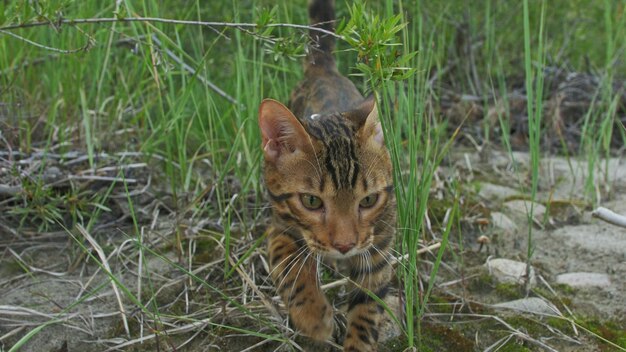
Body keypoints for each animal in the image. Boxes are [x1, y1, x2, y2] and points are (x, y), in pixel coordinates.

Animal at [256, 0, 392, 350]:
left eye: (368, 200)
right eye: (311, 201)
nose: (345, 245)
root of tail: (323, 69)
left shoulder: (380, 246)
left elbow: (368, 309)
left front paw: (358, 341)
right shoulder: (279, 227)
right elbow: (291, 269)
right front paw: (313, 317)